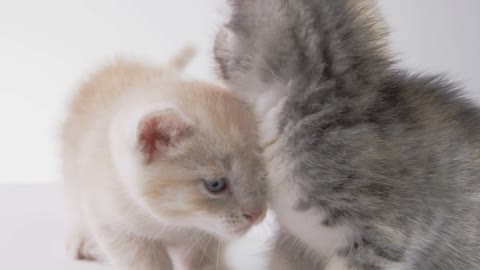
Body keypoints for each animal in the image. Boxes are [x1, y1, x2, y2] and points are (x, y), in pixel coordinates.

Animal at [60, 47, 266, 270]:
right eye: (215, 184)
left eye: (264, 178)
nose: (256, 215)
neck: (175, 223)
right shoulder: (114, 227)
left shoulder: (208, 239)